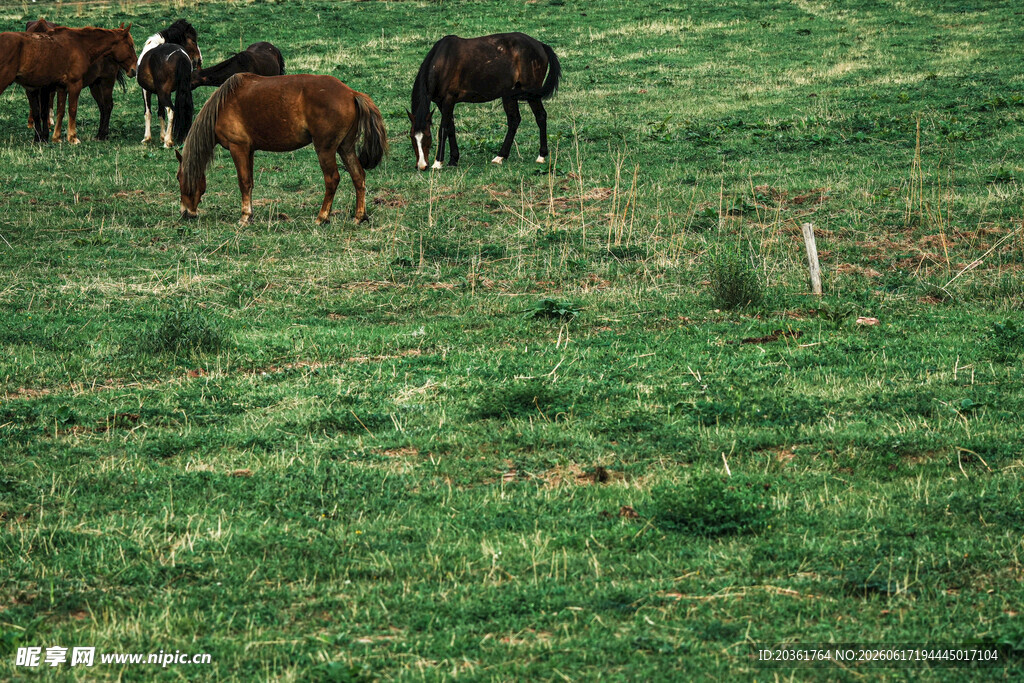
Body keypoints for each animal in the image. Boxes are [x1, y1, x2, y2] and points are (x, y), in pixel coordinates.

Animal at [0, 25, 137, 143]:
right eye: (130, 46)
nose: (134, 70)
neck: (81, 45)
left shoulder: (58, 87)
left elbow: (59, 111)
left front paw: (55, 137)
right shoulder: (72, 85)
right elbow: (71, 109)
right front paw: (72, 137)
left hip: (101, 84)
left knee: (106, 106)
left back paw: (101, 135)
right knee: (105, 106)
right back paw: (101, 134)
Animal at [176, 74, 387, 225]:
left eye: (179, 178)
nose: (186, 213)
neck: (222, 106)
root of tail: (351, 93)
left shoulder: (239, 148)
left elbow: (243, 182)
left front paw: (244, 217)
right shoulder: (249, 151)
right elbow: (250, 182)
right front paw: (250, 215)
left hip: (325, 150)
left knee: (332, 180)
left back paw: (322, 217)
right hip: (345, 148)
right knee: (358, 176)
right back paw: (359, 216)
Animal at [408, 32, 561, 171]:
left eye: (428, 137)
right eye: (412, 138)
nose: (422, 166)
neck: (443, 61)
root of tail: (540, 45)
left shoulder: (449, 100)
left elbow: (443, 129)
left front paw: (438, 162)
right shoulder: (441, 103)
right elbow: (451, 128)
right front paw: (453, 159)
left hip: (532, 93)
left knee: (540, 116)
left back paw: (541, 156)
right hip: (509, 96)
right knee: (514, 120)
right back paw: (500, 156)